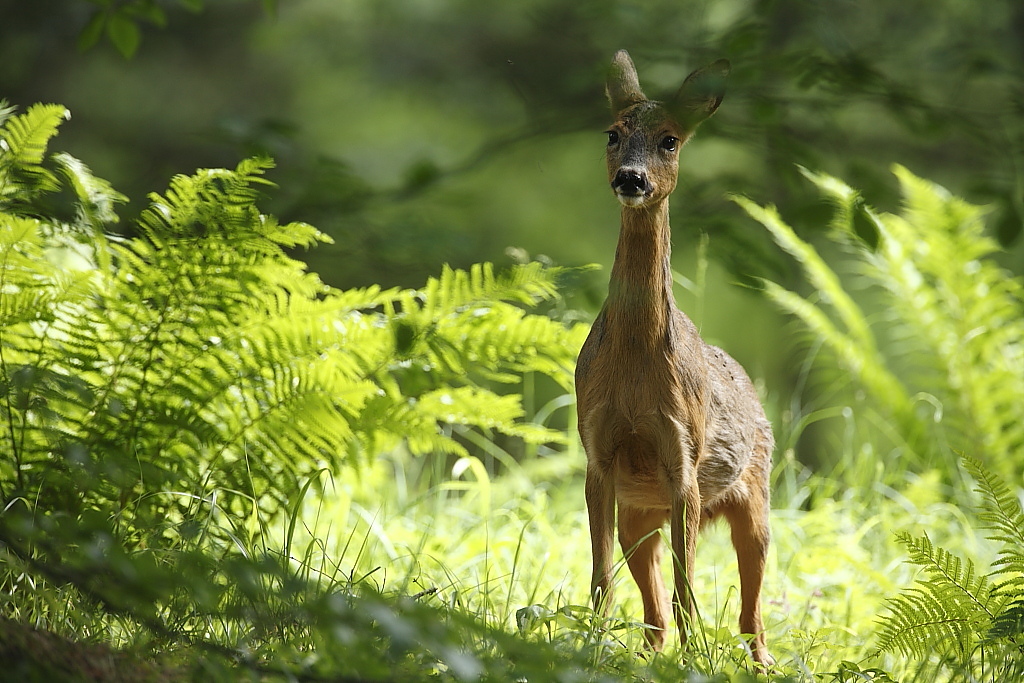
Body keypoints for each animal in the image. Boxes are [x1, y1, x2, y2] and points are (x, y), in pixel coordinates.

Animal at [573, 49, 770, 667]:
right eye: (612, 133)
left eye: (670, 140)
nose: (630, 178)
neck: (636, 369)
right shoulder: (597, 453)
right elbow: (601, 578)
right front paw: (586, 645)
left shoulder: (684, 454)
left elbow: (688, 587)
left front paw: (695, 660)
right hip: (641, 513)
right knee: (653, 609)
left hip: (756, 492)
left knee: (751, 607)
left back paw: (759, 663)